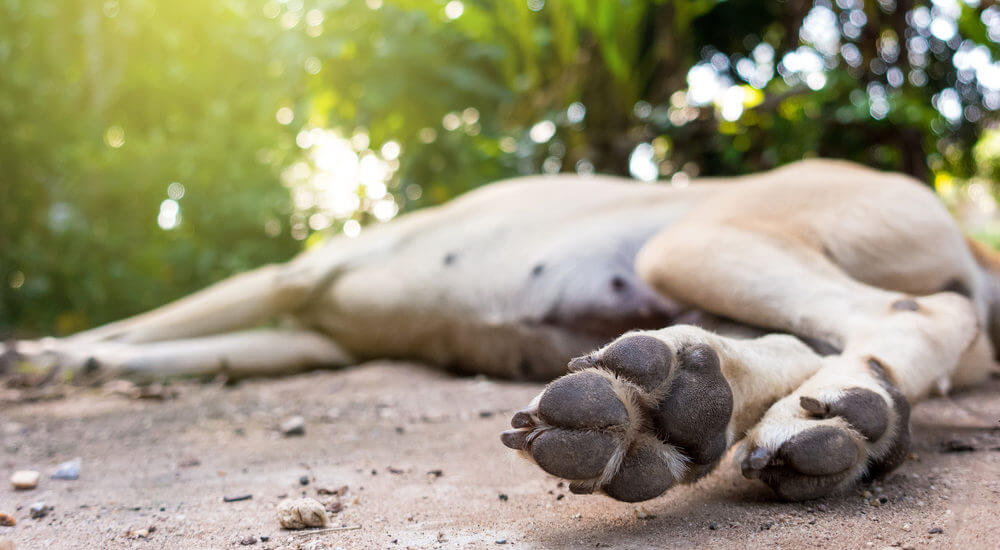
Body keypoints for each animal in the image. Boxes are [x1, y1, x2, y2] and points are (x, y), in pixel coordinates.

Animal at [3, 160, 996, 504]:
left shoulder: (288, 277)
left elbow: (153, 317)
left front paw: (52, 352)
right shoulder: (317, 338)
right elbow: (184, 343)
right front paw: (83, 361)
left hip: (695, 238)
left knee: (913, 312)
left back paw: (834, 409)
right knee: (798, 346)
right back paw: (679, 410)